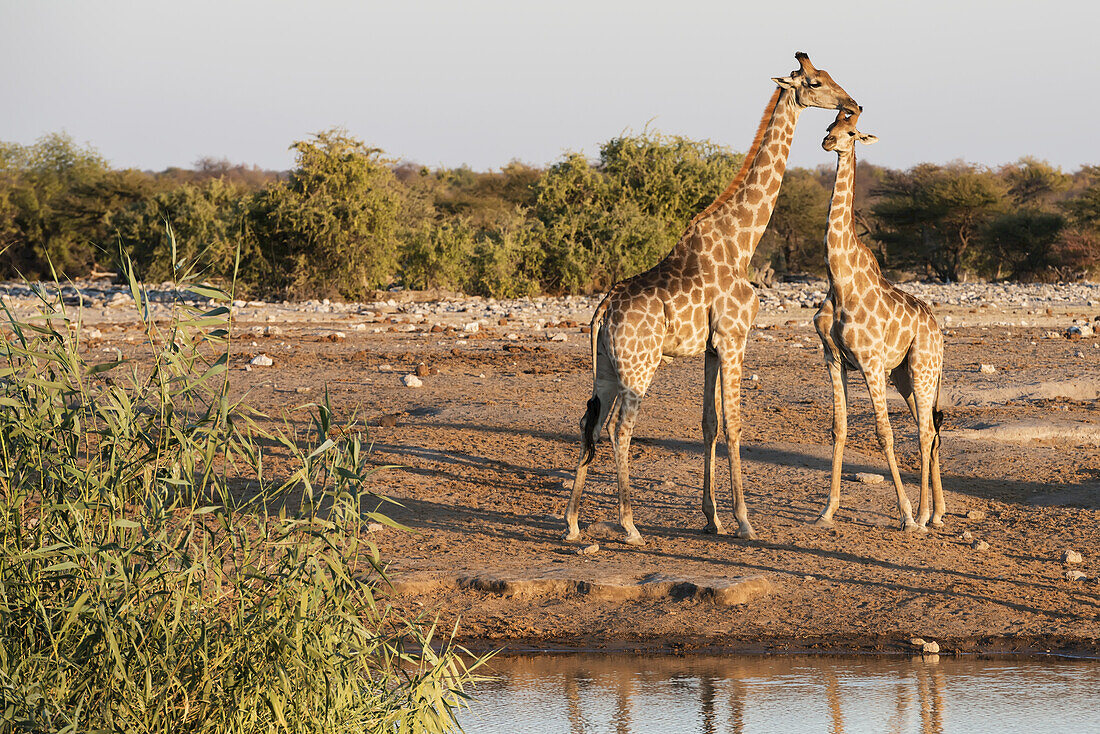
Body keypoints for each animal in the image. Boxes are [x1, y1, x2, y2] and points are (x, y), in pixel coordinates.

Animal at [567, 53, 858, 545]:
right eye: (816, 82)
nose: (853, 102)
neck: (741, 242)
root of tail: (603, 311)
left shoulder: (709, 348)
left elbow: (709, 424)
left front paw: (712, 518)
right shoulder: (735, 338)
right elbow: (736, 424)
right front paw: (744, 521)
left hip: (605, 367)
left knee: (590, 422)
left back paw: (570, 522)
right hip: (639, 366)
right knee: (620, 429)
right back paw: (629, 525)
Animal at [814, 108, 950, 530]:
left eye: (851, 132)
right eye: (830, 126)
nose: (827, 142)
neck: (839, 280)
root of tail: (938, 331)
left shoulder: (871, 361)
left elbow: (884, 433)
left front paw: (904, 514)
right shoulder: (833, 359)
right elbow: (839, 428)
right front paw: (827, 511)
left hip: (923, 368)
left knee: (924, 432)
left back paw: (921, 515)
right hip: (904, 376)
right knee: (930, 430)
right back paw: (937, 513)